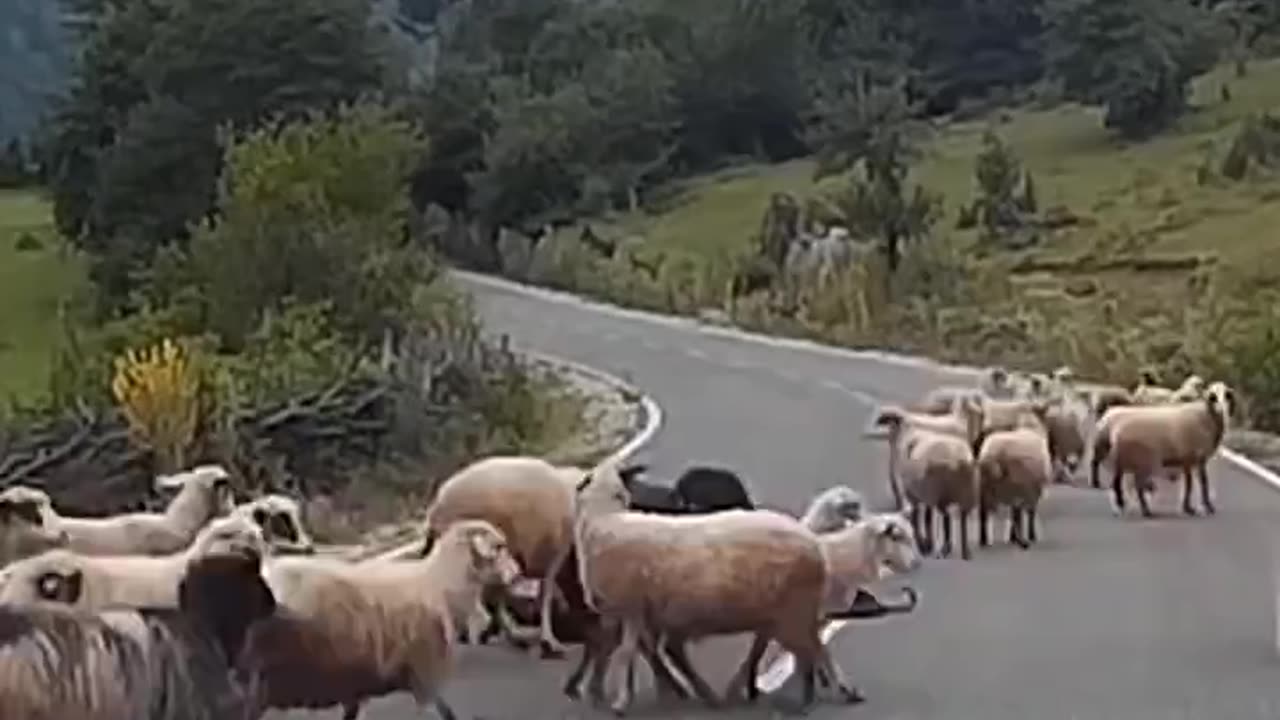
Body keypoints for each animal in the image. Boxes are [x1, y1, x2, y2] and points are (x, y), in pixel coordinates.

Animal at [236, 518, 522, 720]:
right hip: (258, 682)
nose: (517, 574)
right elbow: (446, 713)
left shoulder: (358, 685)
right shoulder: (425, 677)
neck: (441, 583)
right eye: (499, 547)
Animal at [570, 458, 858, 715]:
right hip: (793, 610)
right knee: (815, 646)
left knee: (813, 649)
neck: (604, 519)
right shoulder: (626, 613)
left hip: (793, 608)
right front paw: (604, 693)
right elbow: (617, 650)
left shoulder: (631, 609)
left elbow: (625, 653)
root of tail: (814, 545)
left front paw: (619, 701)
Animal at [871, 408, 979, 560]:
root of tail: (956, 460)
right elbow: (927, 518)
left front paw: (924, 544)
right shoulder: (923, 494)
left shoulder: (914, 493)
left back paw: (944, 548)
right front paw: (928, 543)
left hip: (940, 494)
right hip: (965, 495)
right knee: (961, 520)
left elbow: (917, 518)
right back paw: (963, 551)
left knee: (946, 516)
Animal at [1097, 382, 1234, 517]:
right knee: (1131, 484)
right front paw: (1206, 507)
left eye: (1226, 395)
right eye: (1213, 396)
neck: (1205, 416)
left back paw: (1122, 506)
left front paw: (1188, 507)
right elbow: (1202, 482)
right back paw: (1141, 509)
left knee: (1118, 482)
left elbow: (1189, 483)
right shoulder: (1197, 457)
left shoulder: (1187, 460)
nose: (1222, 409)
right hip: (1139, 460)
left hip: (1124, 460)